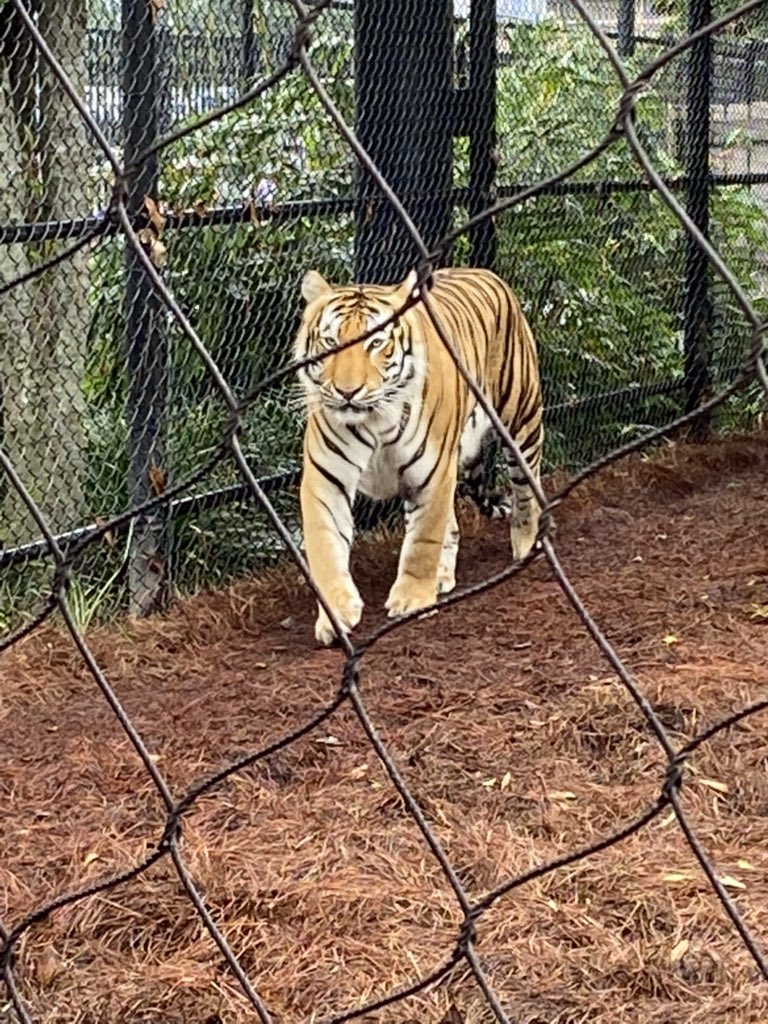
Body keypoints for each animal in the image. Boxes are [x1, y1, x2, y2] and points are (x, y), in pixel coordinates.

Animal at [293, 264, 544, 647]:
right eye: (331, 342)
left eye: (376, 343)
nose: (347, 392)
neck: (374, 420)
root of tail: (482, 270)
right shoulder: (326, 480)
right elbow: (325, 547)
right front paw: (336, 615)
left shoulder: (432, 474)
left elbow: (423, 542)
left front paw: (412, 600)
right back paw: (443, 576)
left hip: (522, 419)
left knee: (526, 490)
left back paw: (525, 545)